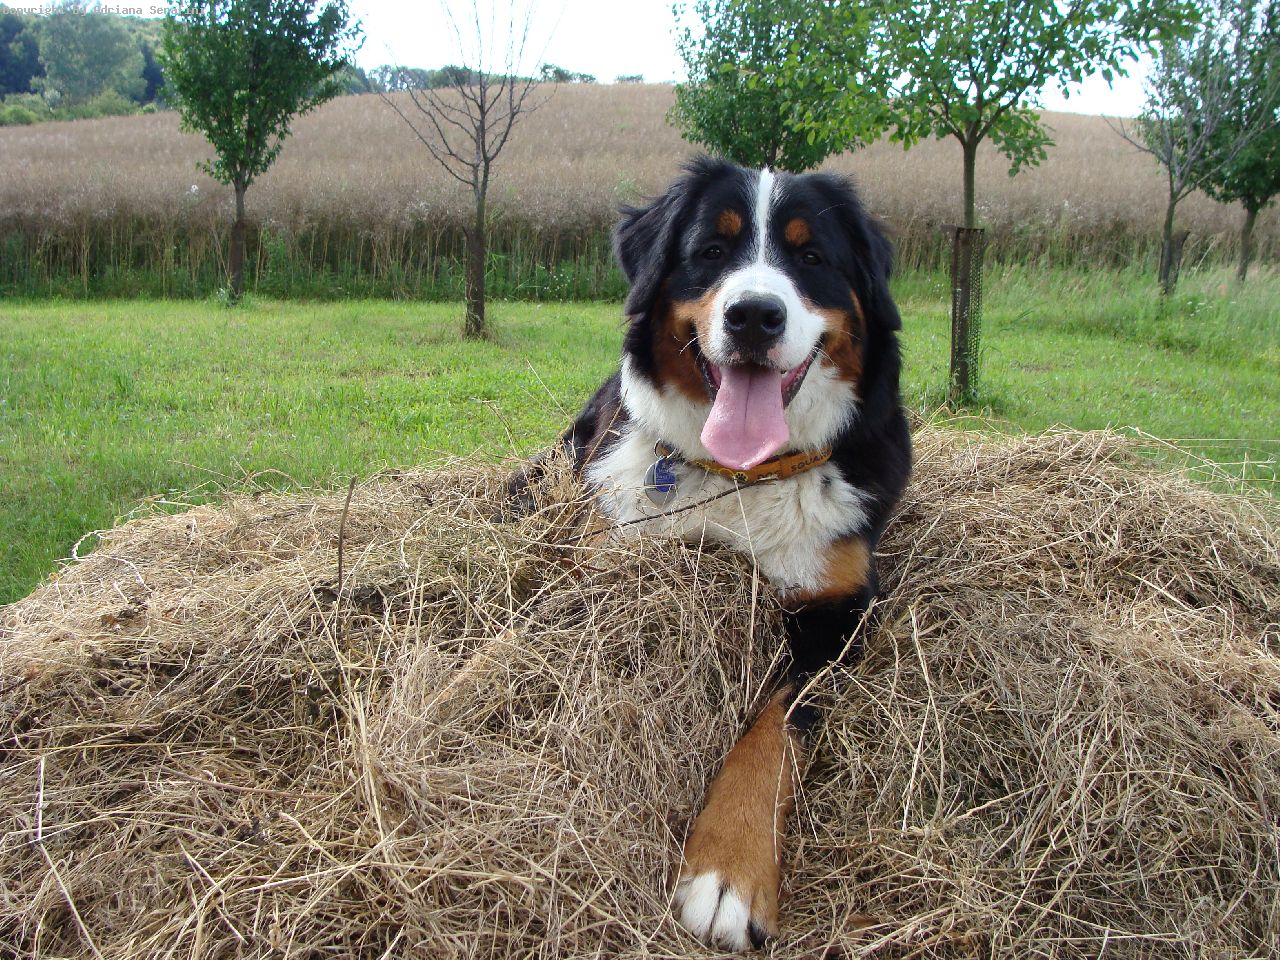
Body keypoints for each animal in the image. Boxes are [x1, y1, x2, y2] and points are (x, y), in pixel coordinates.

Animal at [512, 157, 911, 950]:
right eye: (712, 250)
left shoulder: (837, 610)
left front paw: (728, 873)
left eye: (811, 257)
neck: (741, 475)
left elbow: (773, 730)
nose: (754, 315)